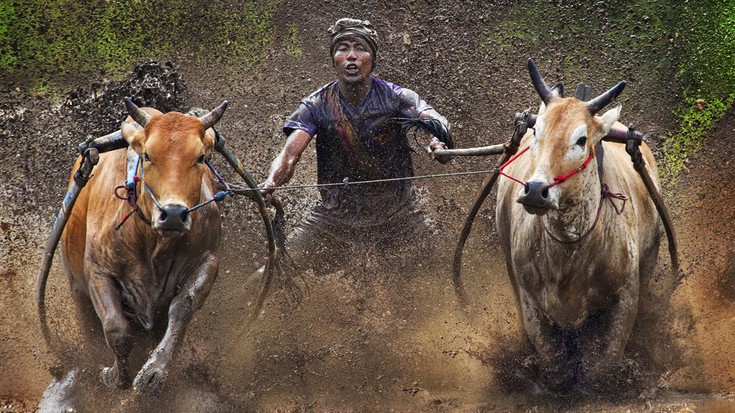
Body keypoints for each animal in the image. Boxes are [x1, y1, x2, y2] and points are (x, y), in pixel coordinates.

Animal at [60, 99, 227, 392]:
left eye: (200, 158)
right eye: (148, 155)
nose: (173, 213)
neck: (155, 245)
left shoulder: (208, 261)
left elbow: (182, 308)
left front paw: (154, 372)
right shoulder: (98, 272)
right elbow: (116, 328)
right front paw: (116, 375)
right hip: (76, 287)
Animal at [498, 60, 664, 392]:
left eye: (581, 139)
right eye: (536, 132)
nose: (535, 190)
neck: (570, 250)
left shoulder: (626, 295)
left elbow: (605, 365)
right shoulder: (527, 296)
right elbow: (553, 364)